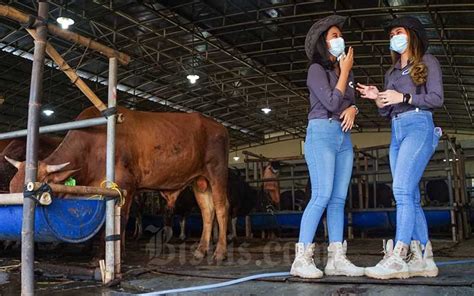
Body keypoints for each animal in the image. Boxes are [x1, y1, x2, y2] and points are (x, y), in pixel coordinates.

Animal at [6, 106, 230, 260]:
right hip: (199, 181)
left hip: (217, 173)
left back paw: (220, 252)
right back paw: (201, 250)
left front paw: (115, 255)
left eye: (35, 189)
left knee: (221, 208)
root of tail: (218, 125)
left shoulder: (125, 186)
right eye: (10, 187)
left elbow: (120, 219)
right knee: (207, 211)